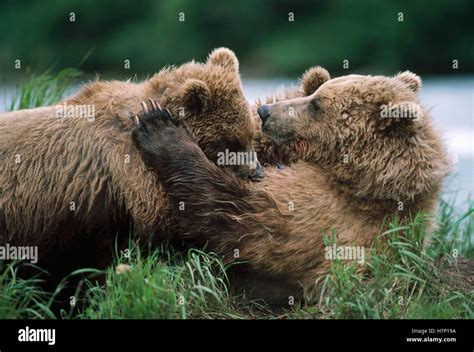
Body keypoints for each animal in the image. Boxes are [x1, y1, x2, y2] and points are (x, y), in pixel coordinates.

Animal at [131, 68, 452, 302]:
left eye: (317, 105)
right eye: (316, 95)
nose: (266, 112)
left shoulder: (328, 218)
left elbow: (231, 209)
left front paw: (160, 129)